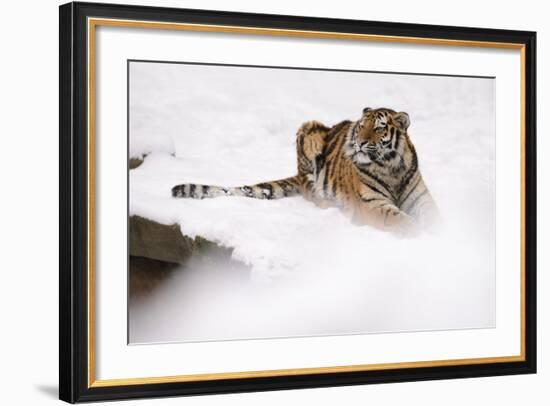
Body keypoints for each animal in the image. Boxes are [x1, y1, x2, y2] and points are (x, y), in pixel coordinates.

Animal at [171, 106, 440, 236]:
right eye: (361, 126)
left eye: (378, 128)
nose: (360, 142)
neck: (392, 168)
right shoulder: (372, 205)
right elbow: (400, 220)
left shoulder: (421, 199)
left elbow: (434, 218)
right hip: (308, 131)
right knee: (310, 190)